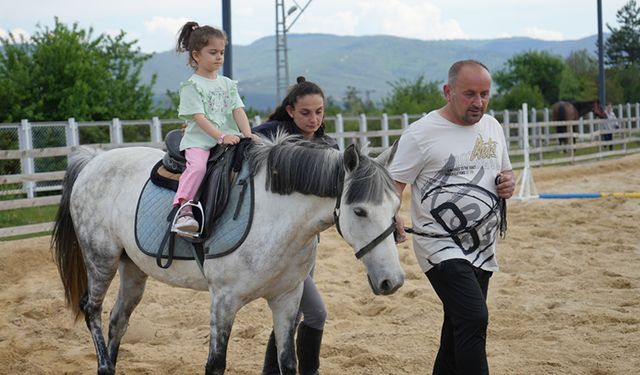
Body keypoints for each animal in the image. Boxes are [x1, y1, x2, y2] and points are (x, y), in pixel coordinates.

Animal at [53, 136, 404, 375]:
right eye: (359, 211)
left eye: (396, 207)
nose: (393, 281)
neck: (274, 217)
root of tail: (93, 160)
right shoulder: (223, 301)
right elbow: (215, 365)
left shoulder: (287, 299)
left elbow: (288, 362)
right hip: (101, 260)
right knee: (92, 310)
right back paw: (104, 364)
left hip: (133, 270)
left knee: (118, 320)